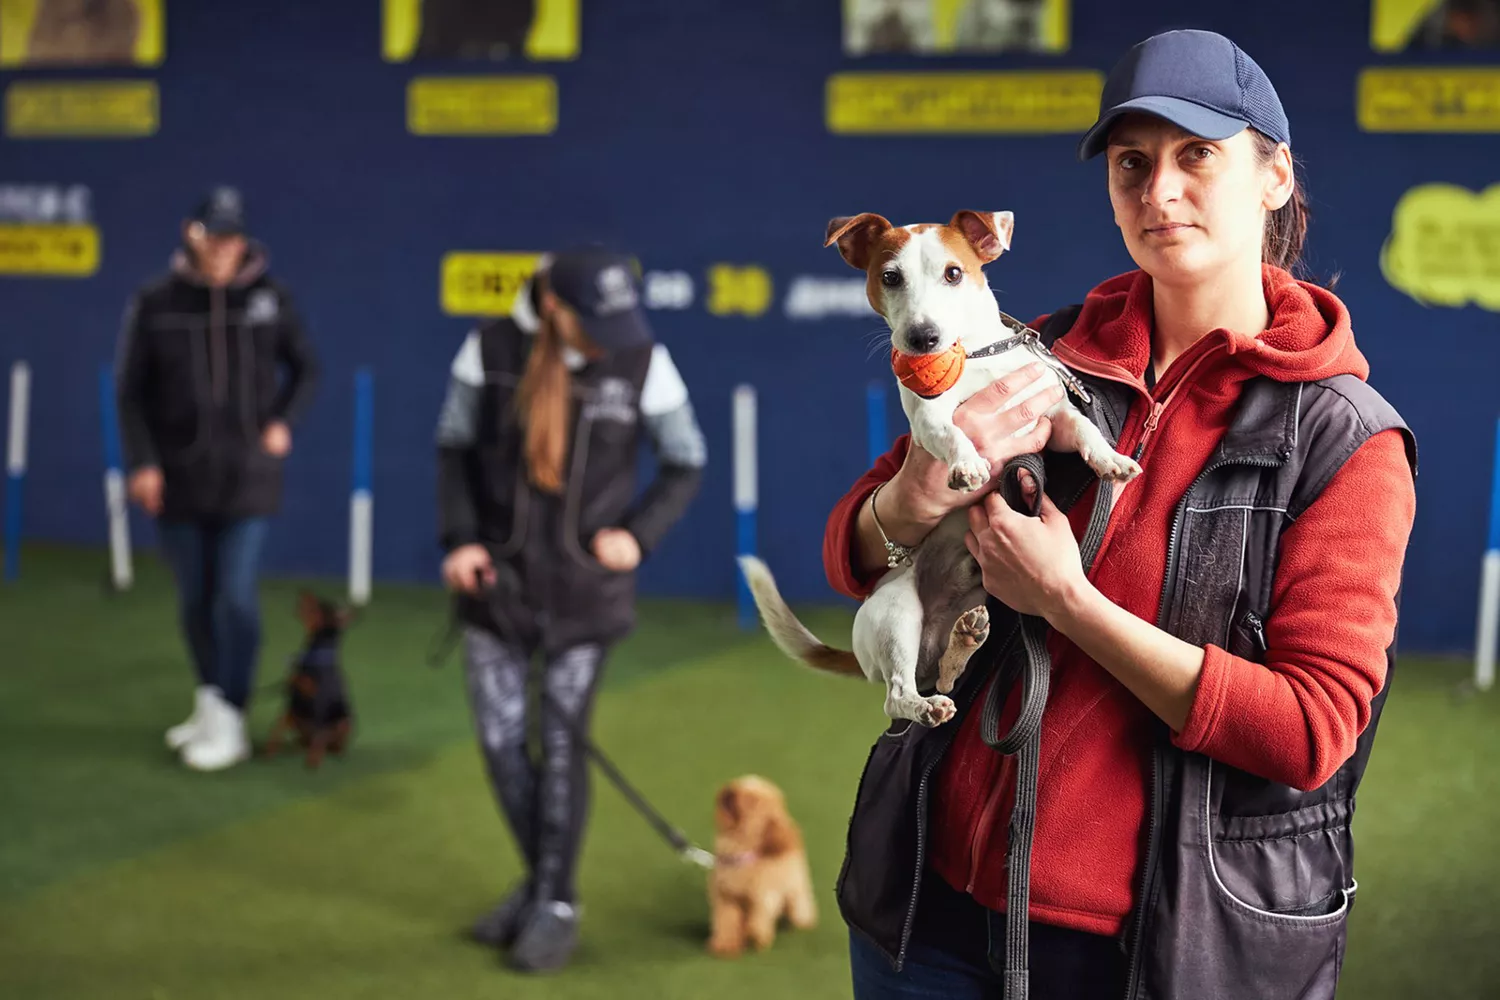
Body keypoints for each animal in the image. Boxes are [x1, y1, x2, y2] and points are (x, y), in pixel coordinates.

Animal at [265, 590, 355, 773]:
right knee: (306, 739)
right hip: (300, 722)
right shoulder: (292, 700)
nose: (303, 591)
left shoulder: (320, 701)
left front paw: (313, 761)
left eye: (321, 605)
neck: (315, 655)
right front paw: (270, 751)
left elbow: (319, 734)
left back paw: (335, 752)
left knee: (330, 740)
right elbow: (277, 727)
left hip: (345, 720)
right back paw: (298, 746)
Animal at [705, 773, 816, 953]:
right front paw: (725, 945)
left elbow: (758, 918)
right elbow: (726, 921)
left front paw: (754, 936)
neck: (742, 855)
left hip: (796, 885)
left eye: (751, 800)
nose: (729, 790)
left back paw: (803, 922)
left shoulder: (763, 896)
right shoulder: (727, 897)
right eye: (740, 784)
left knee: (800, 905)